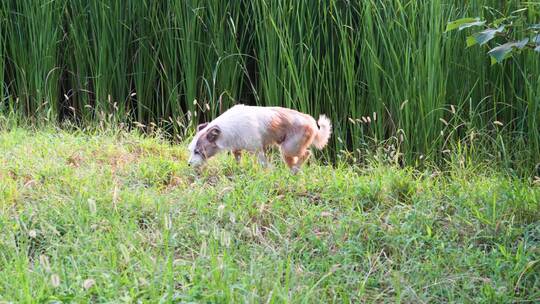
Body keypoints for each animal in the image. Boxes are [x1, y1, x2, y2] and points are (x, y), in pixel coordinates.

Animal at [188, 104, 332, 173]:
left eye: (197, 151)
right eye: (191, 150)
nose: (188, 164)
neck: (226, 128)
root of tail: (312, 122)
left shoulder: (257, 149)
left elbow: (264, 164)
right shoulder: (237, 148)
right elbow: (237, 158)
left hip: (288, 148)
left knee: (307, 153)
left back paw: (295, 170)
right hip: (287, 152)